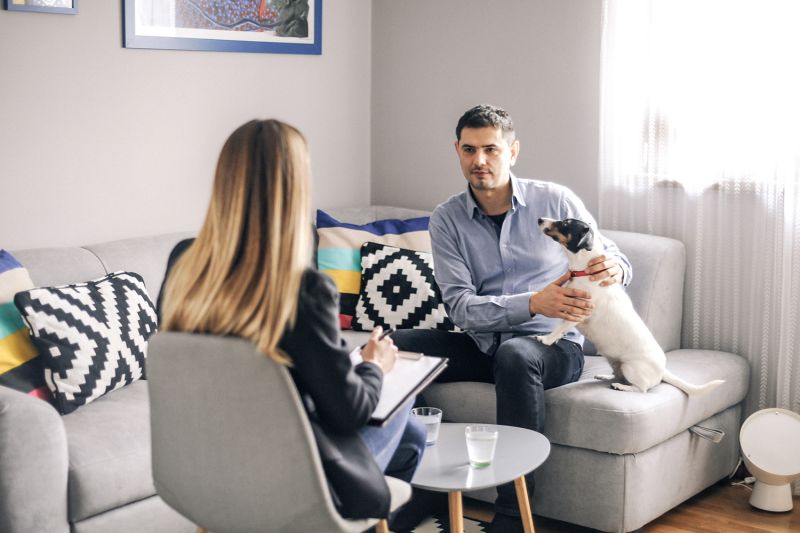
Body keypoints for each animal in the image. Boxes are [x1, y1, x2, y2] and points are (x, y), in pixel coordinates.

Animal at [536, 216, 720, 394]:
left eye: (565, 224)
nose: (540, 219)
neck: (585, 271)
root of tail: (663, 371)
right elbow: (560, 327)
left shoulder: (578, 313)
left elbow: (559, 328)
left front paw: (545, 339)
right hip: (615, 363)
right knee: (617, 375)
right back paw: (605, 376)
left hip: (630, 367)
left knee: (641, 388)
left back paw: (622, 387)